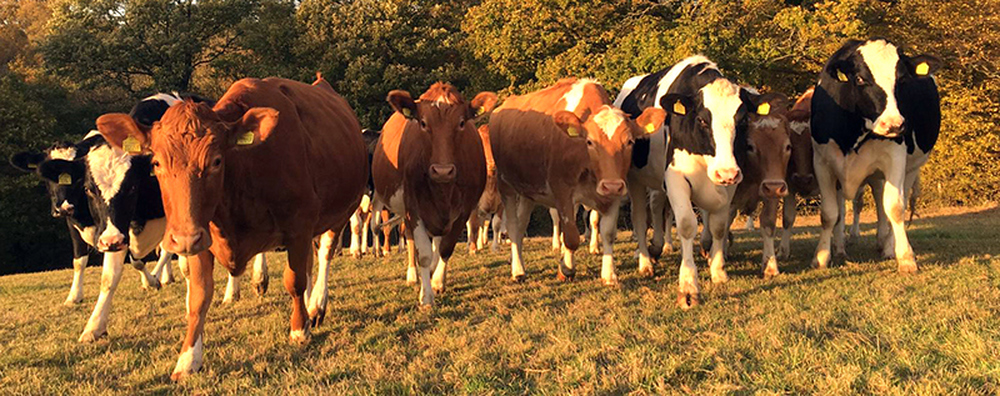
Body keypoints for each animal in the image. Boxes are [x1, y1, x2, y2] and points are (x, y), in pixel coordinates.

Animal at [95, 75, 370, 380]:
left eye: (216, 161)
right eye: (156, 163)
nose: (182, 238)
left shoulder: (299, 225)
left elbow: (294, 281)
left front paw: (299, 329)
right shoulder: (201, 239)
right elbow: (198, 298)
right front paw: (188, 359)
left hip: (341, 211)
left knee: (324, 254)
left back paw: (316, 304)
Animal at [372, 82, 496, 308]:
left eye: (462, 122)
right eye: (423, 123)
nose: (442, 170)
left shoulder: (464, 211)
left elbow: (445, 249)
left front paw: (437, 282)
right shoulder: (413, 208)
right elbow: (423, 254)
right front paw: (426, 296)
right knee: (410, 239)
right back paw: (413, 275)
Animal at [490, 79, 664, 284]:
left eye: (629, 142)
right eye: (590, 142)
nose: (611, 185)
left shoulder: (612, 193)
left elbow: (608, 233)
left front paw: (609, 274)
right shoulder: (562, 191)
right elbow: (571, 236)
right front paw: (566, 269)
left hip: (528, 191)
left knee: (521, 225)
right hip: (506, 186)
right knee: (512, 226)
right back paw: (517, 270)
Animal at [620, 55, 752, 310]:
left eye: (742, 121)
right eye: (702, 119)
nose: (726, 172)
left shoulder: (728, 184)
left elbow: (719, 226)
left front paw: (718, 271)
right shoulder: (675, 178)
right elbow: (686, 224)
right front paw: (689, 287)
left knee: (657, 205)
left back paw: (657, 247)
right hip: (635, 180)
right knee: (640, 217)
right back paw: (645, 261)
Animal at [808, 38, 940, 270]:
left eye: (902, 79)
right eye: (860, 79)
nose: (894, 124)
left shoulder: (896, 158)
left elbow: (895, 207)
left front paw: (906, 258)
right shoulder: (822, 162)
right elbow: (829, 213)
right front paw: (822, 257)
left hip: (910, 168)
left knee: (888, 203)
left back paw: (886, 246)